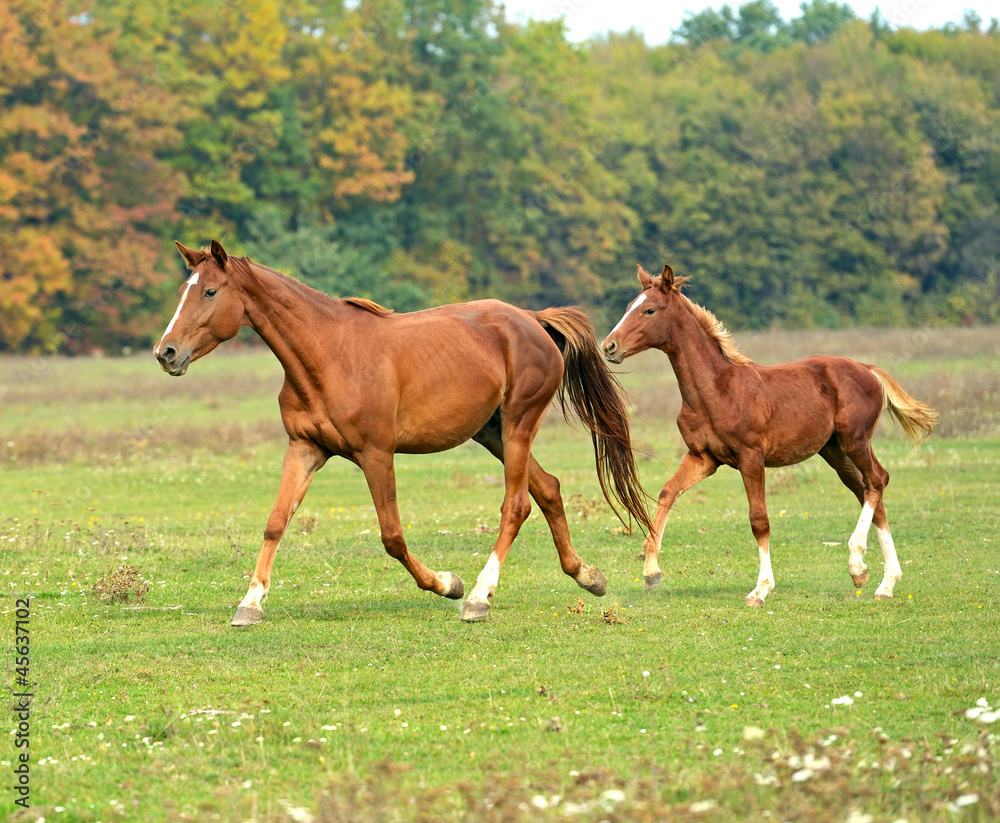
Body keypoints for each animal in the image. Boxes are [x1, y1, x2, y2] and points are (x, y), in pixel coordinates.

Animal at [154, 240, 652, 625]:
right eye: (183, 290)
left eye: (211, 291)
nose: (166, 352)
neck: (329, 355)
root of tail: (532, 319)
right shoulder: (304, 448)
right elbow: (276, 523)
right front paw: (251, 603)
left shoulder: (376, 453)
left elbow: (392, 536)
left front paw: (448, 584)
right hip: (491, 433)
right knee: (548, 488)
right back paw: (587, 576)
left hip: (518, 424)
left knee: (517, 505)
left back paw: (479, 596)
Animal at [601, 264, 937, 606]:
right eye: (629, 306)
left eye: (650, 310)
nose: (609, 346)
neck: (717, 389)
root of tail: (867, 369)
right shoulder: (703, 457)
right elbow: (668, 492)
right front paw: (651, 571)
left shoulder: (751, 456)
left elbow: (759, 520)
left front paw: (761, 589)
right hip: (833, 451)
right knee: (868, 490)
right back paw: (882, 581)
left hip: (855, 440)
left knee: (878, 480)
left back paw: (860, 564)